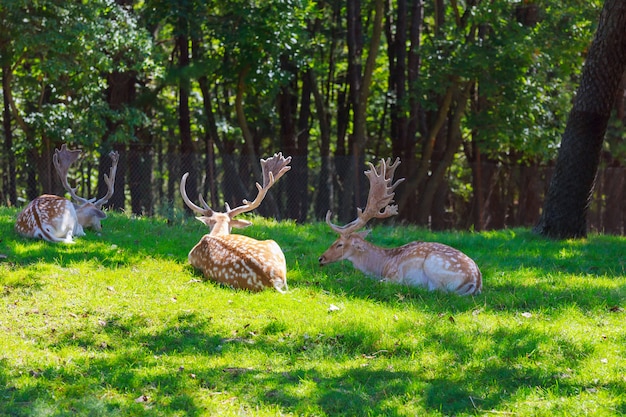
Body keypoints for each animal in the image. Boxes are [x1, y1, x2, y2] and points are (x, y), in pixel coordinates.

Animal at [320, 157, 480, 296]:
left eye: (339, 244)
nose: (321, 258)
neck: (383, 264)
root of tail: (476, 282)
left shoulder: (394, 274)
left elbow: (376, 281)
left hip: (434, 265)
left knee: (438, 290)